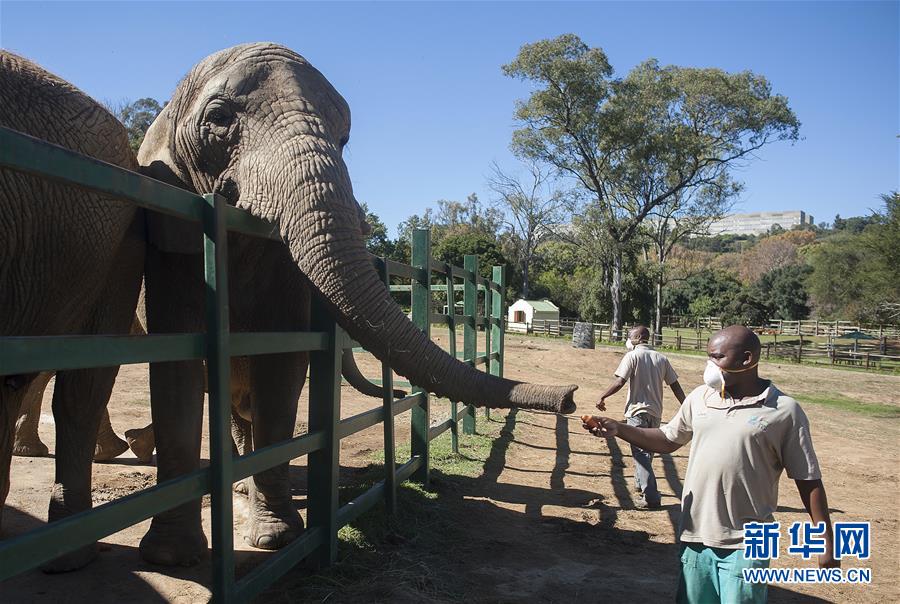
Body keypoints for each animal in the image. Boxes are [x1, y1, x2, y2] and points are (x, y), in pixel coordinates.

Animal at [137, 42, 580, 568]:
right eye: (219, 118)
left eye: (345, 137)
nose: (573, 399)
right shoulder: (172, 231)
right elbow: (176, 363)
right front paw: (170, 557)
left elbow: (281, 368)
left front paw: (276, 539)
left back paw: (244, 492)